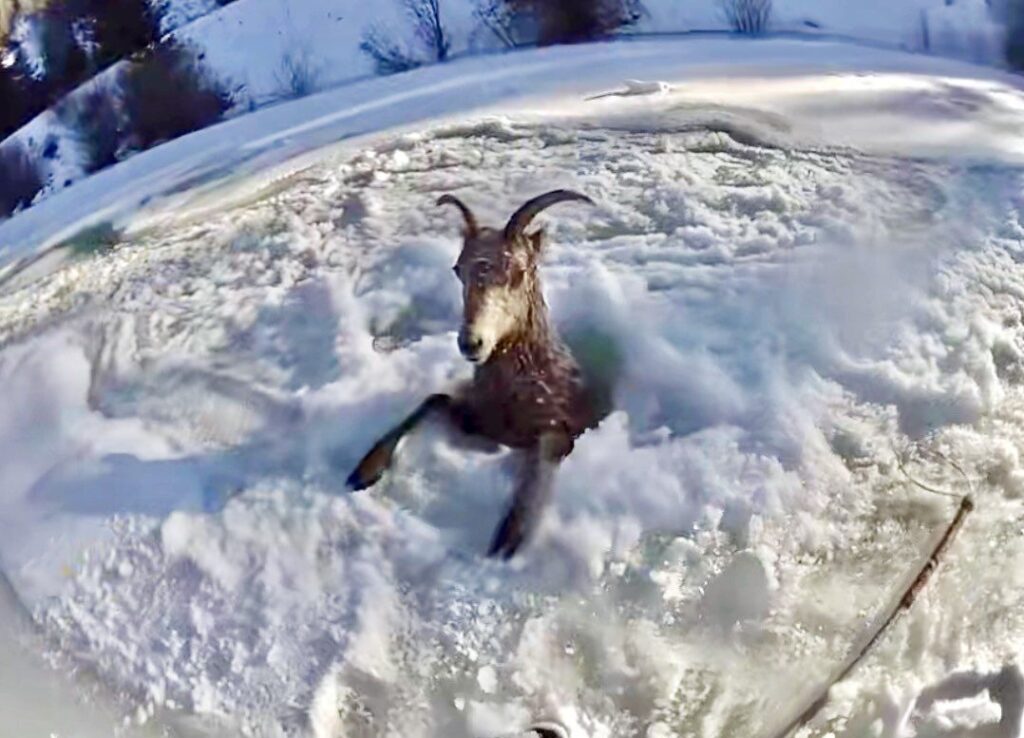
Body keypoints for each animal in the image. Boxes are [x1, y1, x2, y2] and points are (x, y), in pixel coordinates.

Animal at [346, 189, 605, 559]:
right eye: (458, 269)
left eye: (520, 270)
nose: (471, 342)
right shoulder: (476, 418)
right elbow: (434, 399)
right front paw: (365, 470)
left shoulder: (558, 425)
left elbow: (548, 447)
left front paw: (509, 536)